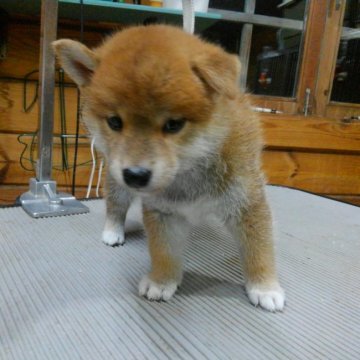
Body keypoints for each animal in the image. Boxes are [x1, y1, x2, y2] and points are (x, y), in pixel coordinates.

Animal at [52, 25, 284, 312]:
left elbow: (258, 249)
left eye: (174, 124)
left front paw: (265, 286)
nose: (135, 175)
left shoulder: (247, 205)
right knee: (115, 206)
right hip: (116, 182)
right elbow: (164, 252)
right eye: (115, 122)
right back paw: (113, 231)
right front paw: (161, 280)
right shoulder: (162, 213)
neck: (190, 172)